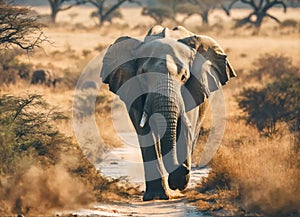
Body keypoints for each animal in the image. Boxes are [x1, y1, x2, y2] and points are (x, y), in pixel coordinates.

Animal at [101, 25, 237, 202]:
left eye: (184, 76)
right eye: (143, 76)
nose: (186, 169)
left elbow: (185, 128)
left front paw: (179, 179)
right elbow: (145, 133)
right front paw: (156, 196)